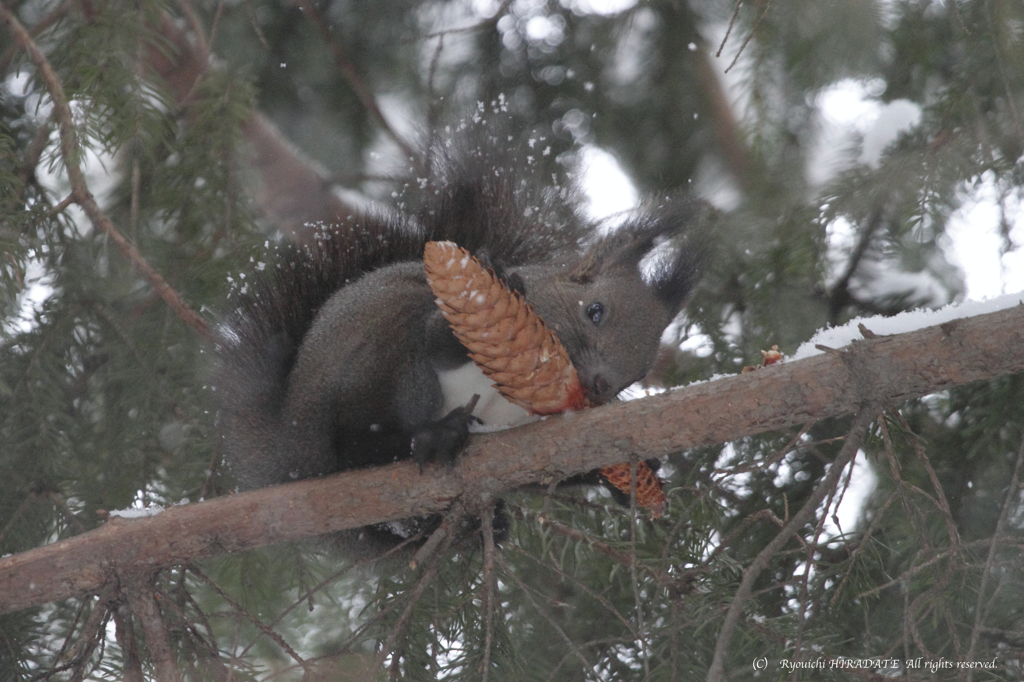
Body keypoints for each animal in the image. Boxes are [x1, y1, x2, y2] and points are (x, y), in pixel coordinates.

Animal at [214, 115, 712, 552]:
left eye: (642, 370)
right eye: (595, 311)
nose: (601, 385)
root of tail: (292, 448)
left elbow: (548, 465)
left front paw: (636, 476)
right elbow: (441, 339)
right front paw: (501, 284)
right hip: (377, 356)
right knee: (355, 443)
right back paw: (428, 437)